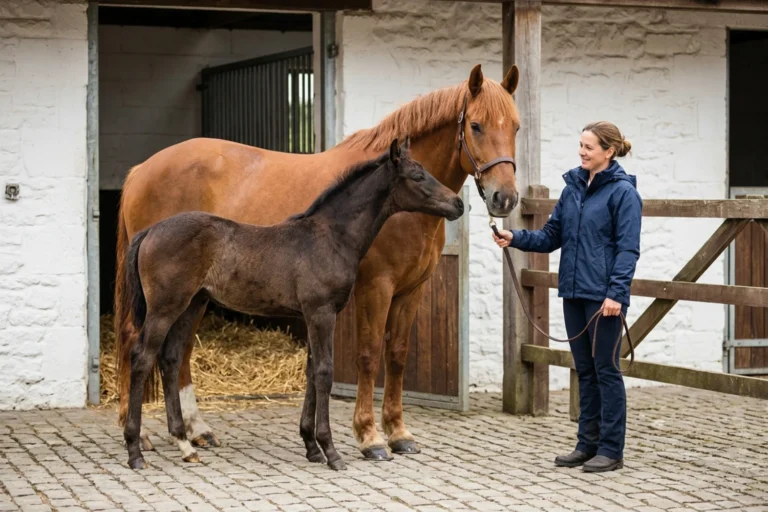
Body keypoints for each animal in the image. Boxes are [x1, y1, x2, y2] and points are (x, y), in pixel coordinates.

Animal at [122, 139, 464, 471]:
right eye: (417, 176)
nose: (457, 204)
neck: (331, 236)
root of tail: (150, 231)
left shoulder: (313, 315)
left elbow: (312, 373)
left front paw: (312, 447)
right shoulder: (322, 312)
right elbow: (324, 372)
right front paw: (331, 451)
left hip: (190, 305)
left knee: (170, 359)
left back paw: (185, 445)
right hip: (164, 308)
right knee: (141, 358)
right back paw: (136, 451)